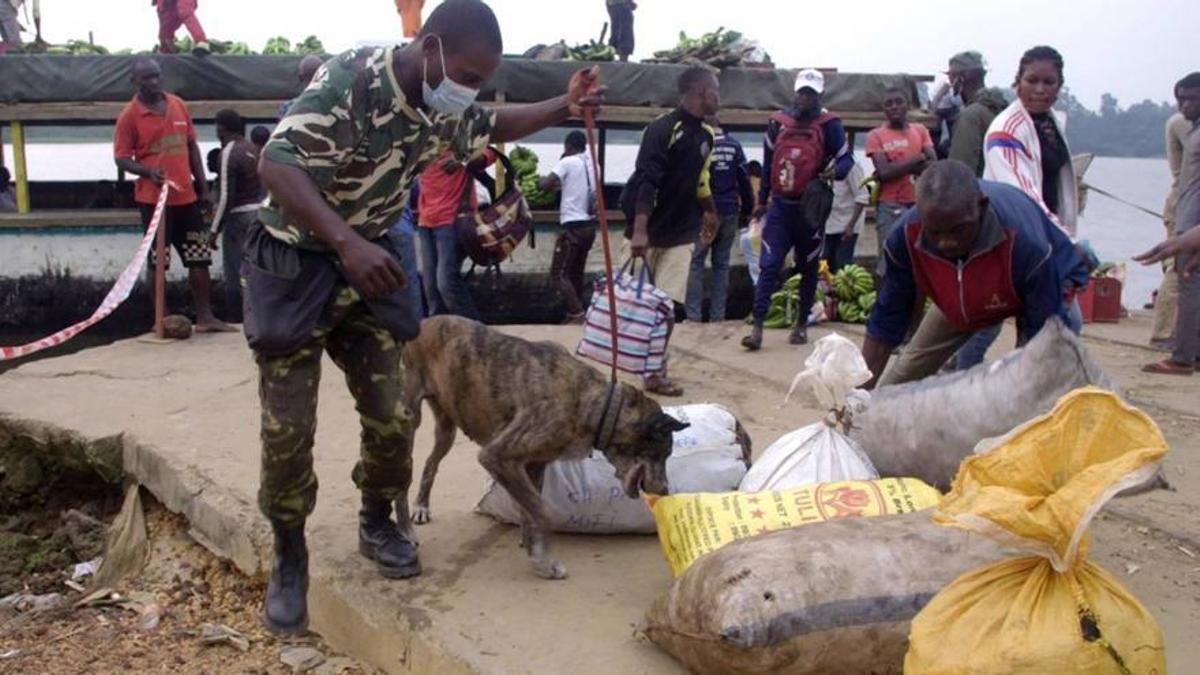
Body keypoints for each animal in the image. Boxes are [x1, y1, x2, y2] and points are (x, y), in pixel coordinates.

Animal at [400, 312, 691, 576]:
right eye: (663, 453)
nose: (665, 491)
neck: (597, 406)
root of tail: (424, 321)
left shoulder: (535, 463)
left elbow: (530, 509)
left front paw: (532, 546)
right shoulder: (497, 457)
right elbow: (541, 511)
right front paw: (543, 560)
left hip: (447, 428)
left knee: (430, 462)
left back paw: (422, 505)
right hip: (409, 419)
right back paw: (405, 530)